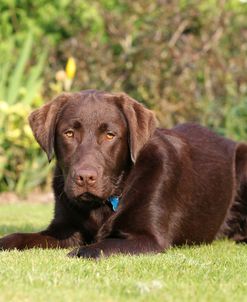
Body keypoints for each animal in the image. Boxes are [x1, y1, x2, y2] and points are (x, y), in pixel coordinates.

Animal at [0, 89, 247, 258]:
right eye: (69, 133)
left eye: (110, 135)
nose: (85, 177)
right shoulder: (64, 228)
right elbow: (20, 236)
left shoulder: (148, 238)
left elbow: (100, 246)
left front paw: (81, 251)